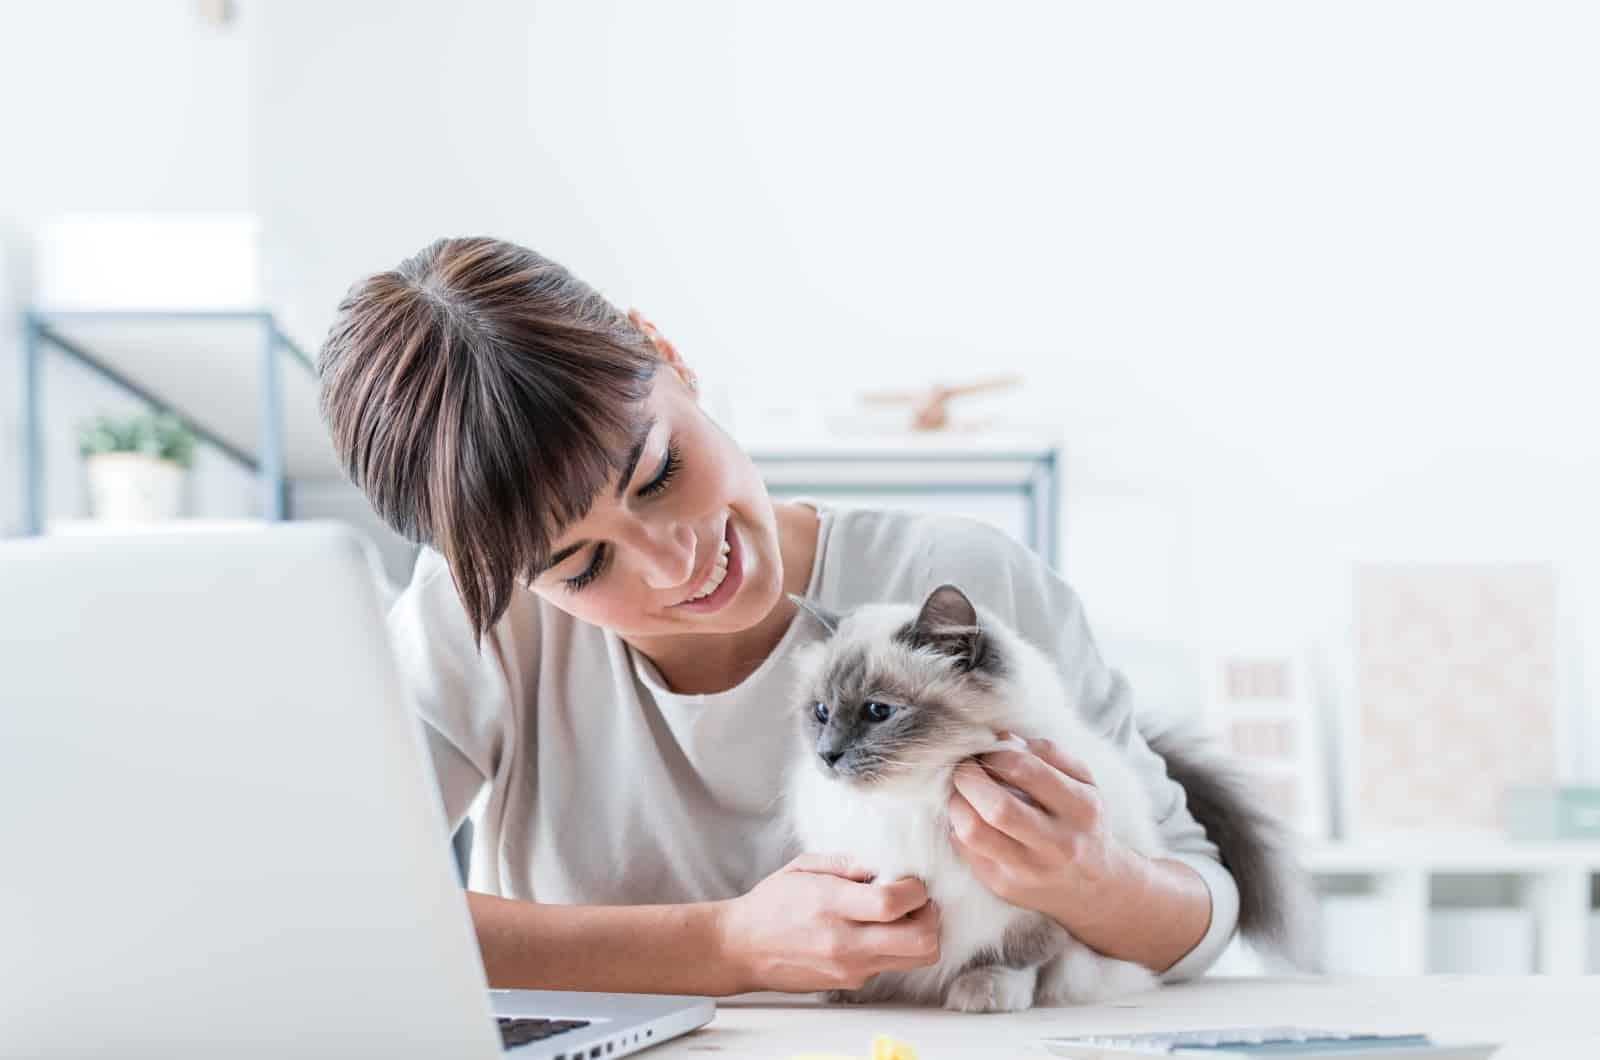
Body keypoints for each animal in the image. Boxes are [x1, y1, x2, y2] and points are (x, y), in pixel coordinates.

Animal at [780, 586, 1318, 1018]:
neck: (914, 798)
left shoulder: (1040, 905)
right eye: (821, 712)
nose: (827, 755)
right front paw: (848, 985)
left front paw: (986, 992)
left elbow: (1014, 956)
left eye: (878, 711)